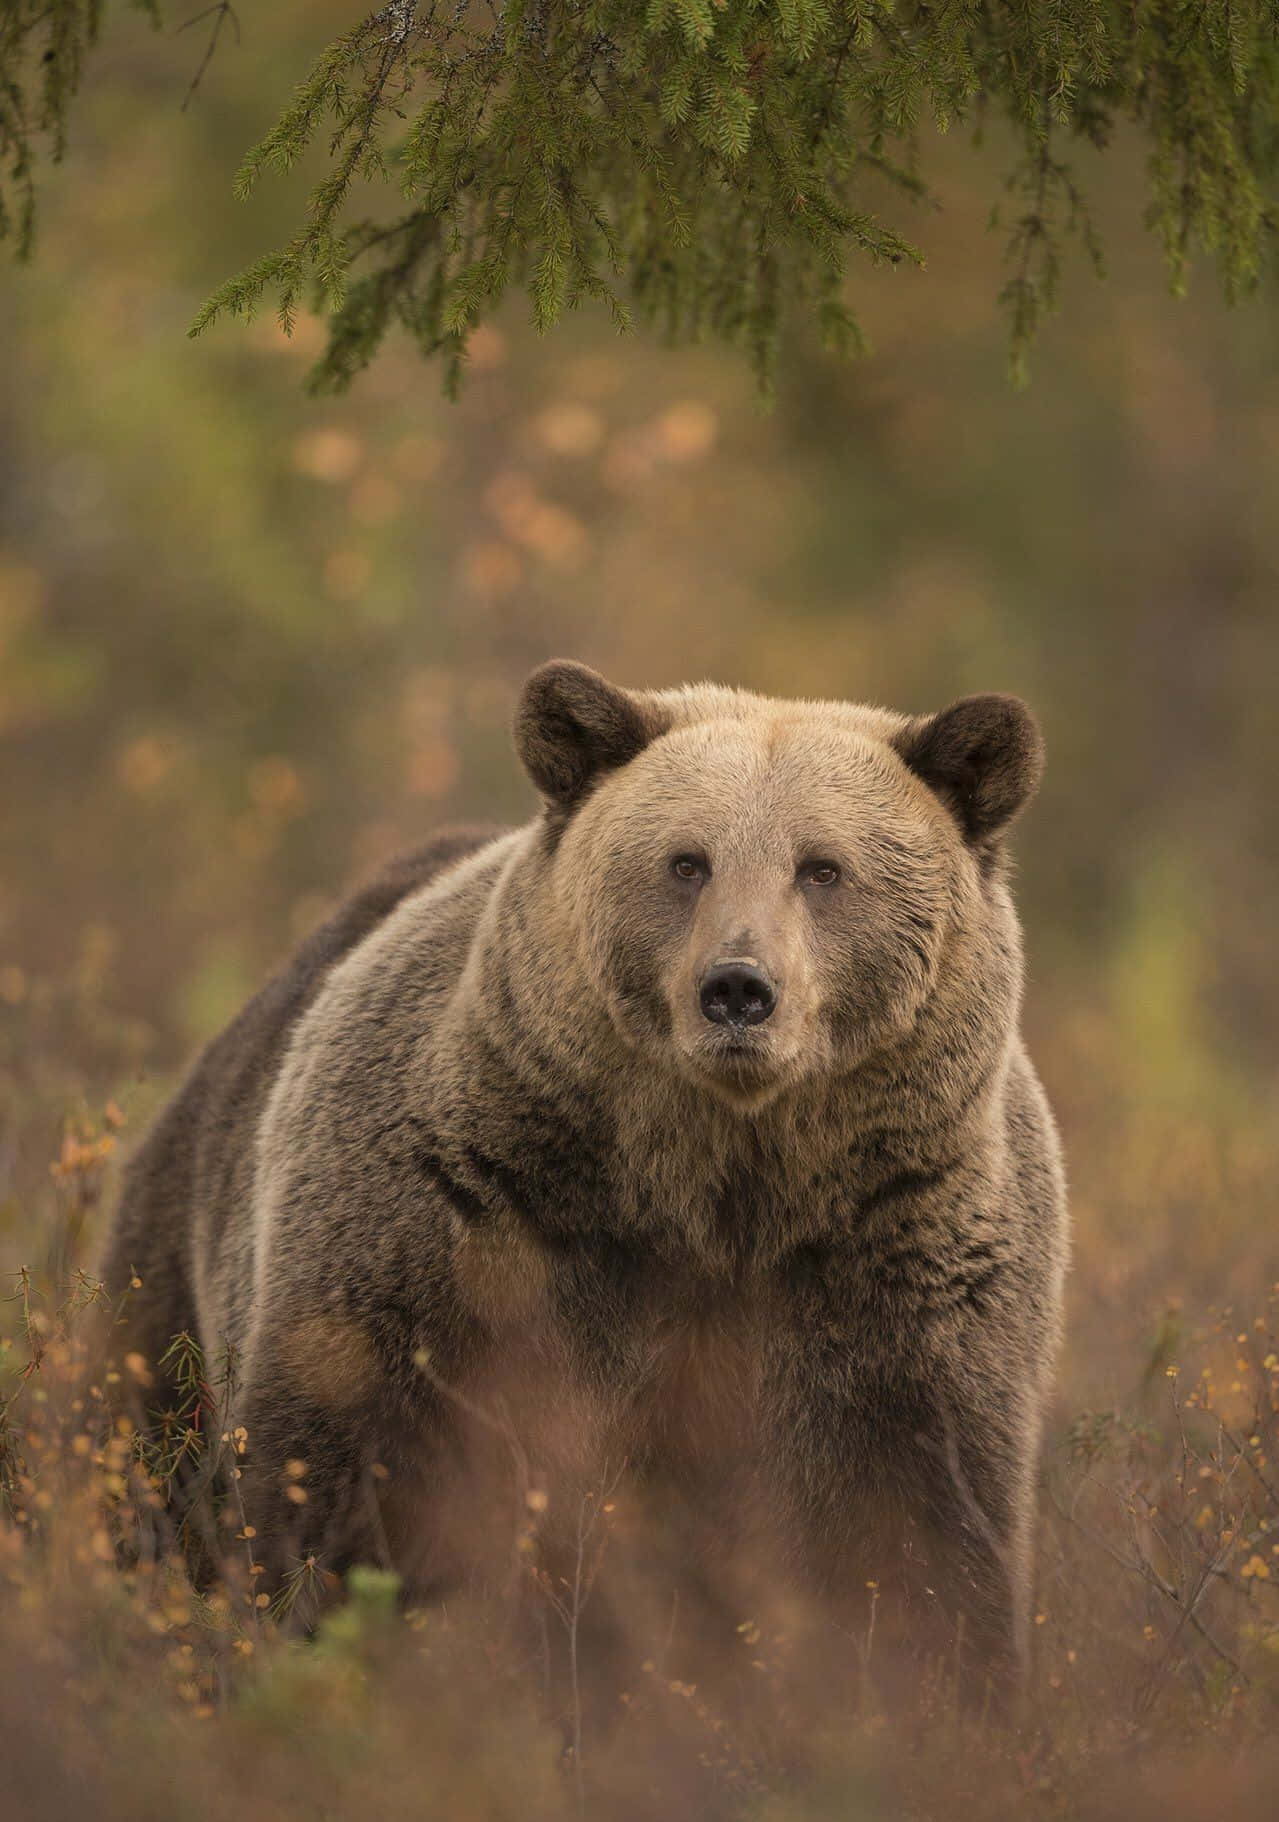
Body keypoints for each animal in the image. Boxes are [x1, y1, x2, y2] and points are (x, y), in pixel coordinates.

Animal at [102, 660, 1067, 1697]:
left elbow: (925, 1545)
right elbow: (334, 1476)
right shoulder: (463, 1232)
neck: (721, 1189)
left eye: (821, 868)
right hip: (174, 1261)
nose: (737, 989)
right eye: (686, 862)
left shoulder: (902, 1289)